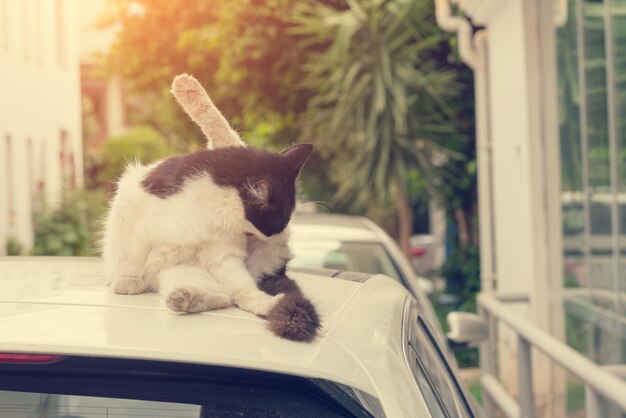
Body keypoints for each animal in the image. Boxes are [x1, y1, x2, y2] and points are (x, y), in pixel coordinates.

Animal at [102, 75, 320, 342]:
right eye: (277, 220)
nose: (274, 234)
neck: (213, 208)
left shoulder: (223, 254)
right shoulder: (133, 215)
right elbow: (131, 255)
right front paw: (128, 281)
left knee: (235, 294)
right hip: (181, 270)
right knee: (225, 296)